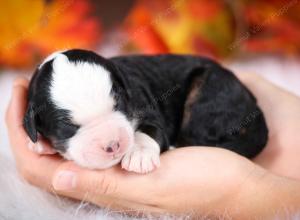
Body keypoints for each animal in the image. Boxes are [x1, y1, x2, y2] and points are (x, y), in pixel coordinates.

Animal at [22, 49, 268, 174]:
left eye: (119, 106)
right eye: (68, 128)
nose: (113, 145)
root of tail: (256, 110)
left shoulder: (148, 109)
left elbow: (149, 130)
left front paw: (138, 155)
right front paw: (40, 144)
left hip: (209, 92)